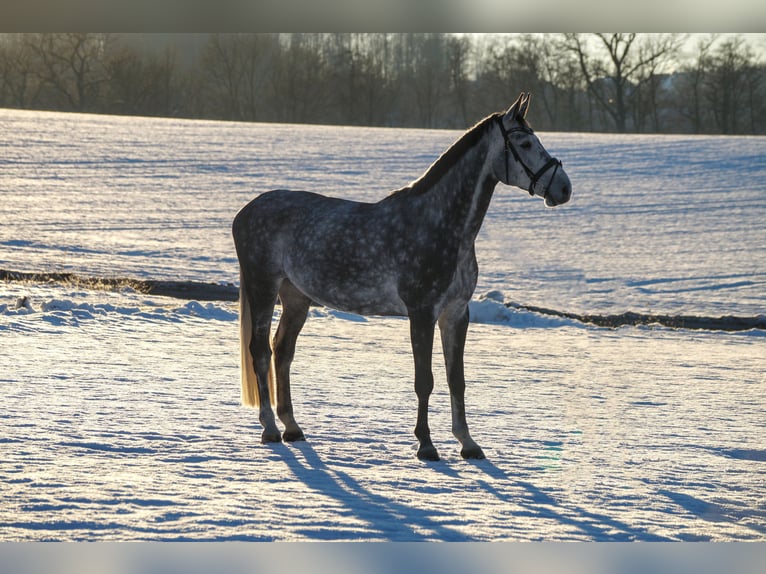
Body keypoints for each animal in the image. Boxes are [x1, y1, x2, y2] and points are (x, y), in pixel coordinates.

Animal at [231, 94, 572, 464]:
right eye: (525, 143)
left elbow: (456, 379)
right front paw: (426, 445)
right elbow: (425, 379)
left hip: (295, 296)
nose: (564, 188)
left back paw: (292, 426)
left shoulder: (456, 313)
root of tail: (246, 211)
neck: (442, 224)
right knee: (260, 351)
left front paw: (467, 443)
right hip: (263, 287)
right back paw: (270, 428)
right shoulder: (421, 313)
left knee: (282, 351)